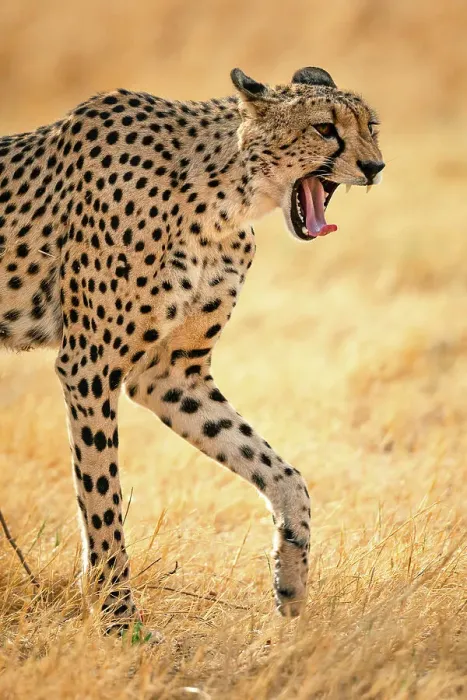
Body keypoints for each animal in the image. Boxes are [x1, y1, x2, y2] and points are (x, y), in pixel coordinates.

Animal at [0, 66, 384, 634]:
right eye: (324, 128)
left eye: (369, 126)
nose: (376, 166)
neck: (221, 196)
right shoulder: (89, 365)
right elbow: (102, 494)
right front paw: (119, 619)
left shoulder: (169, 373)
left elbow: (280, 471)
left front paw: (291, 579)